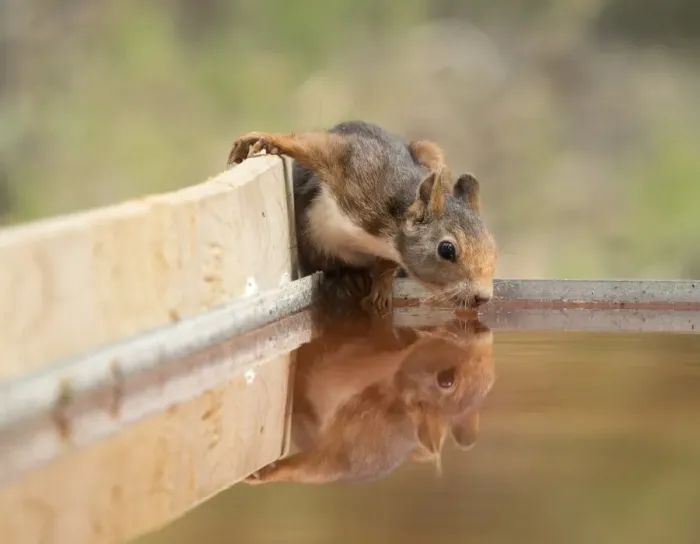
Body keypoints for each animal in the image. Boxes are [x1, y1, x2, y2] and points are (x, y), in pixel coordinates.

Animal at [227, 120, 497, 313]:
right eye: (447, 249)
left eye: (494, 249)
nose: (483, 297)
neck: (380, 233)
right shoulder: (355, 161)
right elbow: (315, 147)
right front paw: (264, 139)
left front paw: (383, 282)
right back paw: (348, 278)